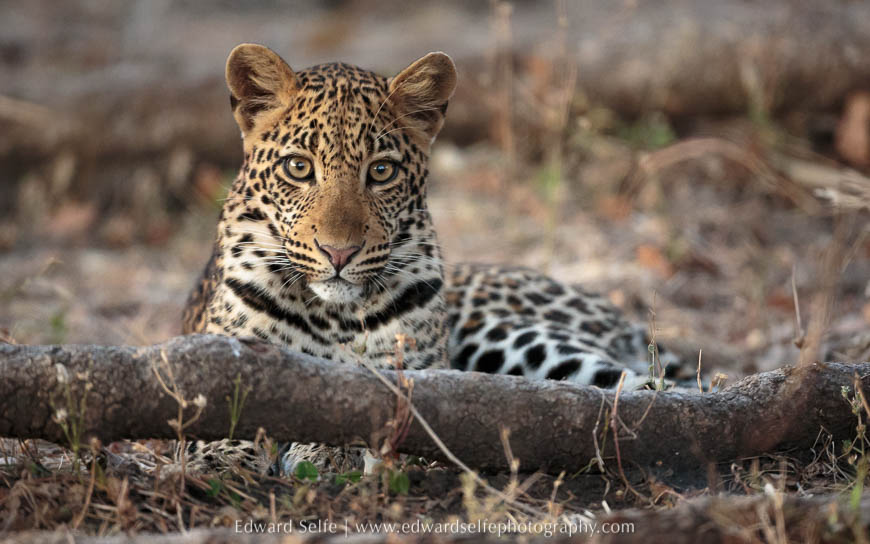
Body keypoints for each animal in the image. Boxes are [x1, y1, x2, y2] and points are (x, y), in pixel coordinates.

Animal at [181, 44, 692, 476]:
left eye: (381, 171)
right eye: (299, 167)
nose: (339, 252)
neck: (334, 315)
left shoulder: (416, 376)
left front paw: (327, 451)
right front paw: (222, 459)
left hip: (509, 336)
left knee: (659, 388)